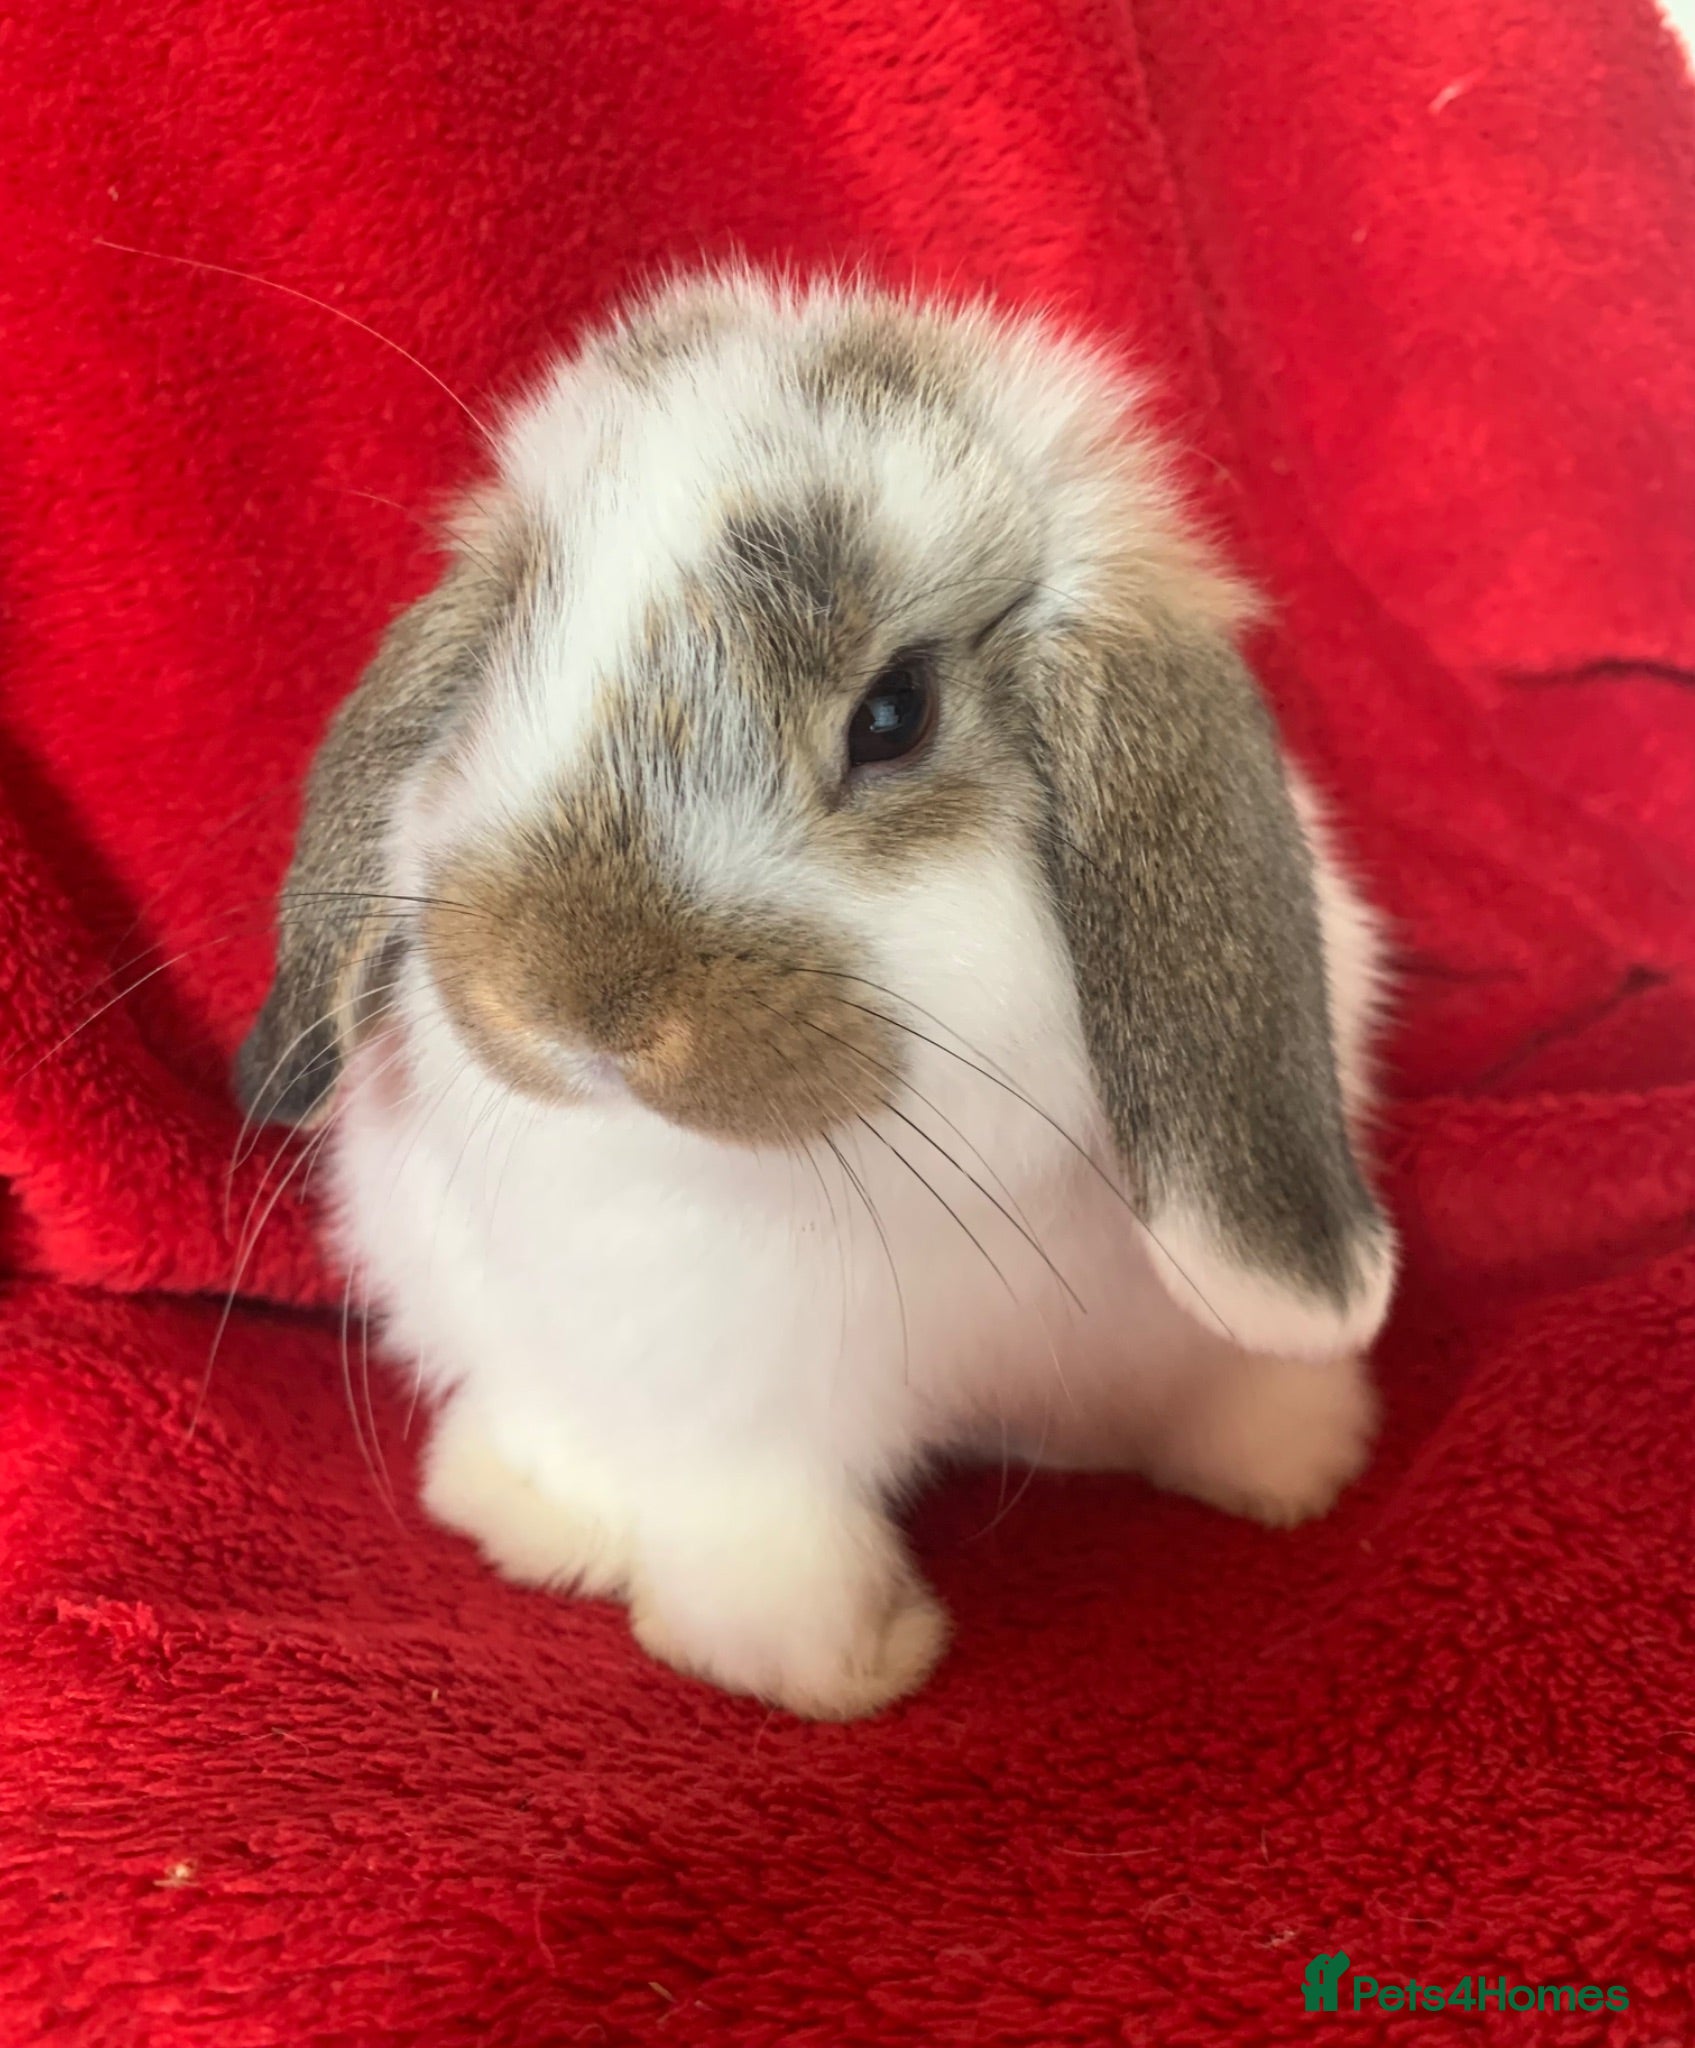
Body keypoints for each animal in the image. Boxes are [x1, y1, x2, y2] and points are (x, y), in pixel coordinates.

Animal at [235, 268, 1397, 1721]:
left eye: (893, 713)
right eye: (506, 656)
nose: (565, 1001)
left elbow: (1219, 1368)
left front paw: (1295, 1459)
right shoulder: (722, 1385)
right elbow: (764, 1526)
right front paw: (834, 1667)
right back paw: (539, 1509)